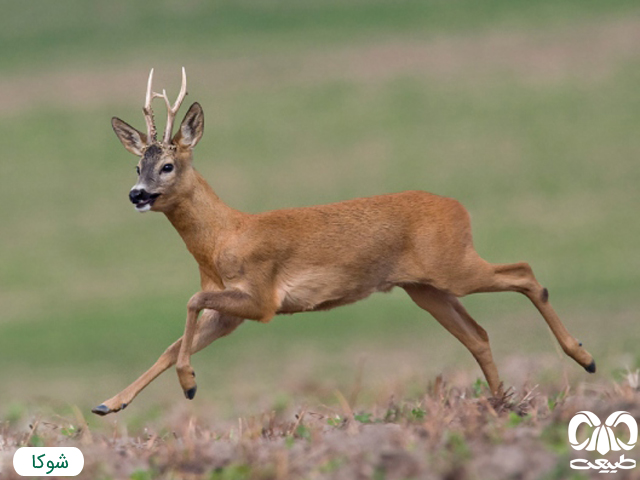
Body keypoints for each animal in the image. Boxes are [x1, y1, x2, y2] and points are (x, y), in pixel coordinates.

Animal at [91, 68, 596, 416]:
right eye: (137, 165)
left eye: (167, 166)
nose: (137, 194)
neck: (223, 238)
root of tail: (458, 207)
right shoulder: (231, 313)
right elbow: (174, 342)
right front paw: (109, 404)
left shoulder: (262, 299)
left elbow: (191, 303)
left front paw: (189, 385)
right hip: (425, 288)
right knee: (479, 333)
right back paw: (504, 404)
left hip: (453, 266)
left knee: (525, 273)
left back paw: (583, 358)